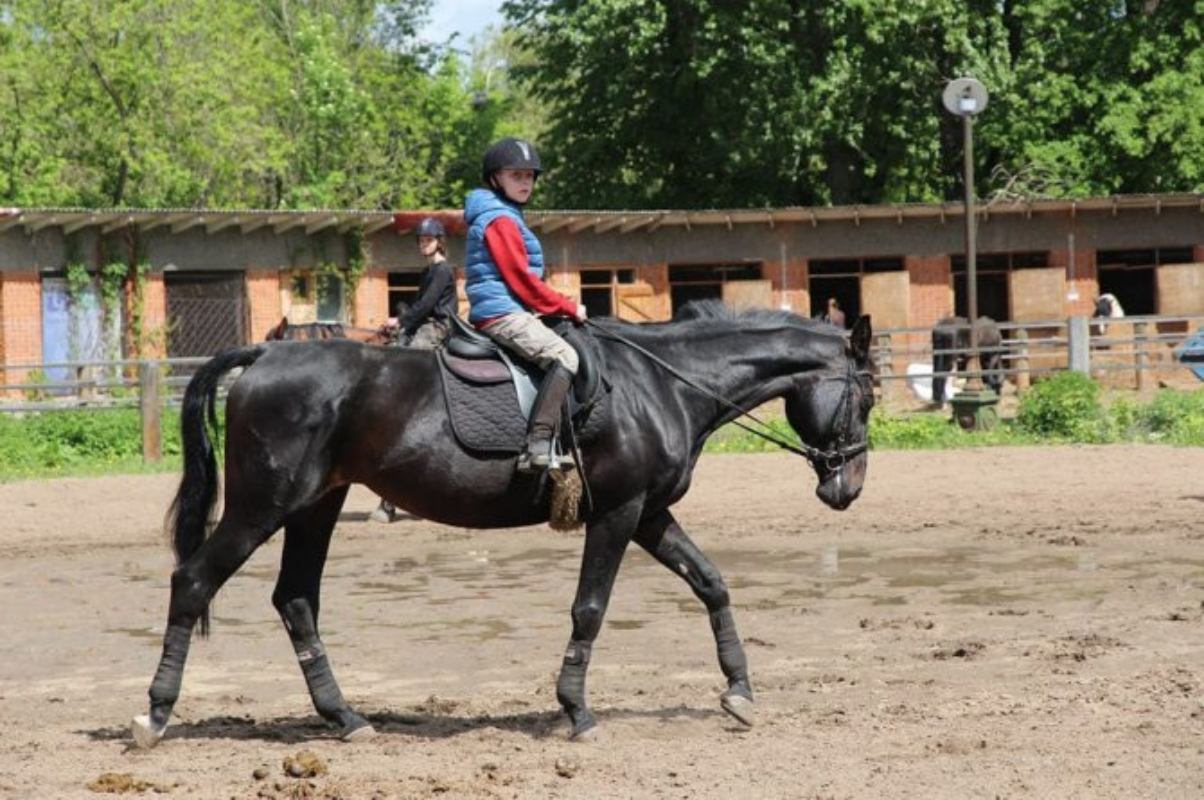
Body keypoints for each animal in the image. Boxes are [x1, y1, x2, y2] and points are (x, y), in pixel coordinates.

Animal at [134, 306, 876, 751]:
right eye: (866, 397)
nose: (849, 489)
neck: (661, 384)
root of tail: (264, 355)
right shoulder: (619, 512)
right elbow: (590, 608)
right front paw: (576, 711)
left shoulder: (647, 512)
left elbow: (712, 583)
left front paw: (739, 692)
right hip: (263, 506)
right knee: (193, 580)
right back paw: (156, 714)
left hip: (316, 505)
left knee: (295, 599)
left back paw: (344, 718)